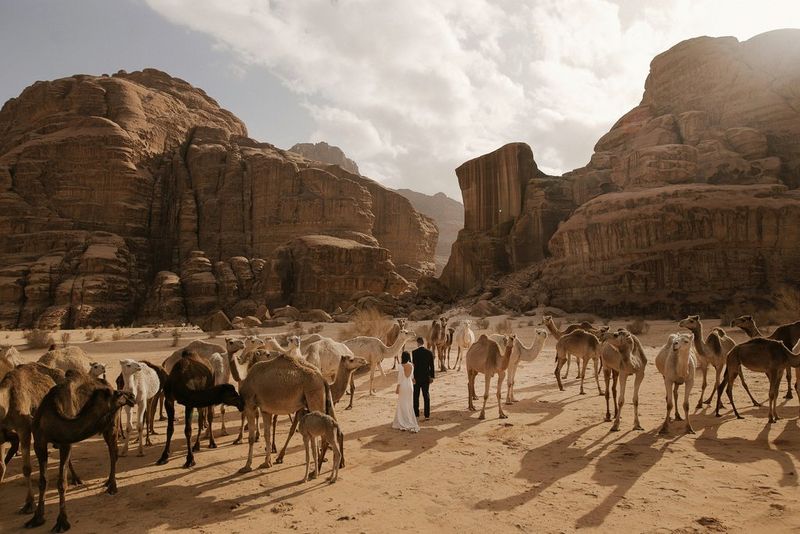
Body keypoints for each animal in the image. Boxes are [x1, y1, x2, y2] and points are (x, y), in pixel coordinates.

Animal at [24, 378, 134, 533]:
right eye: (118, 393)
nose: (132, 396)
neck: (50, 418)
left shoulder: (65, 442)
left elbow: (61, 483)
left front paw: (62, 522)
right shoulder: (39, 442)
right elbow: (42, 481)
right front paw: (37, 518)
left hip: (111, 425)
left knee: (113, 453)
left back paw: (112, 487)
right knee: (113, 452)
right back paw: (107, 482)